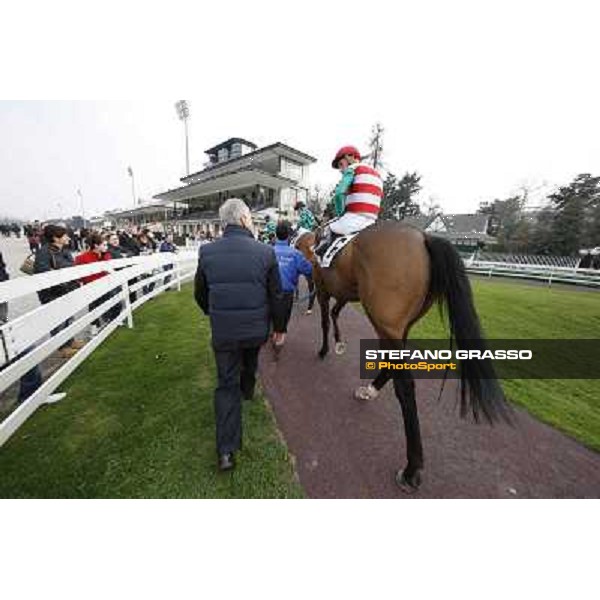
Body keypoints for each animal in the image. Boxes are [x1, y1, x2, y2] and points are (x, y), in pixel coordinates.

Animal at [298, 220, 508, 492]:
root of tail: (424, 237)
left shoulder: (324, 288)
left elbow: (325, 319)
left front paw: (324, 349)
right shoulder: (343, 292)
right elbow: (334, 313)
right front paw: (338, 343)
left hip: (384, 321)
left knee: (405, 385)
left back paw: (411, 469)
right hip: (398, 325)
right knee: (391, 363)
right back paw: (370, 390)